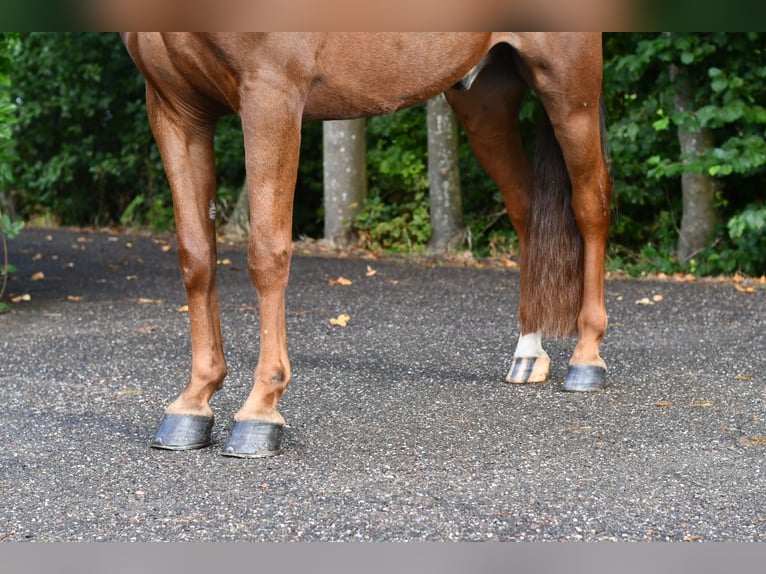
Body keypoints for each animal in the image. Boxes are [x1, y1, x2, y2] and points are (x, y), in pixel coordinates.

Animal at [121, 33, 612, 462]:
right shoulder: (175, 109)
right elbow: (196, 257)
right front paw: (192, 402)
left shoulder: (271, 95)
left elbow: (266, 253)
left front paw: (260, 410)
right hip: (485, 100)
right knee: (526, 209)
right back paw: (529, 353)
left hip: (570, 90)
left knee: (590, 207)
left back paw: (587, 359)